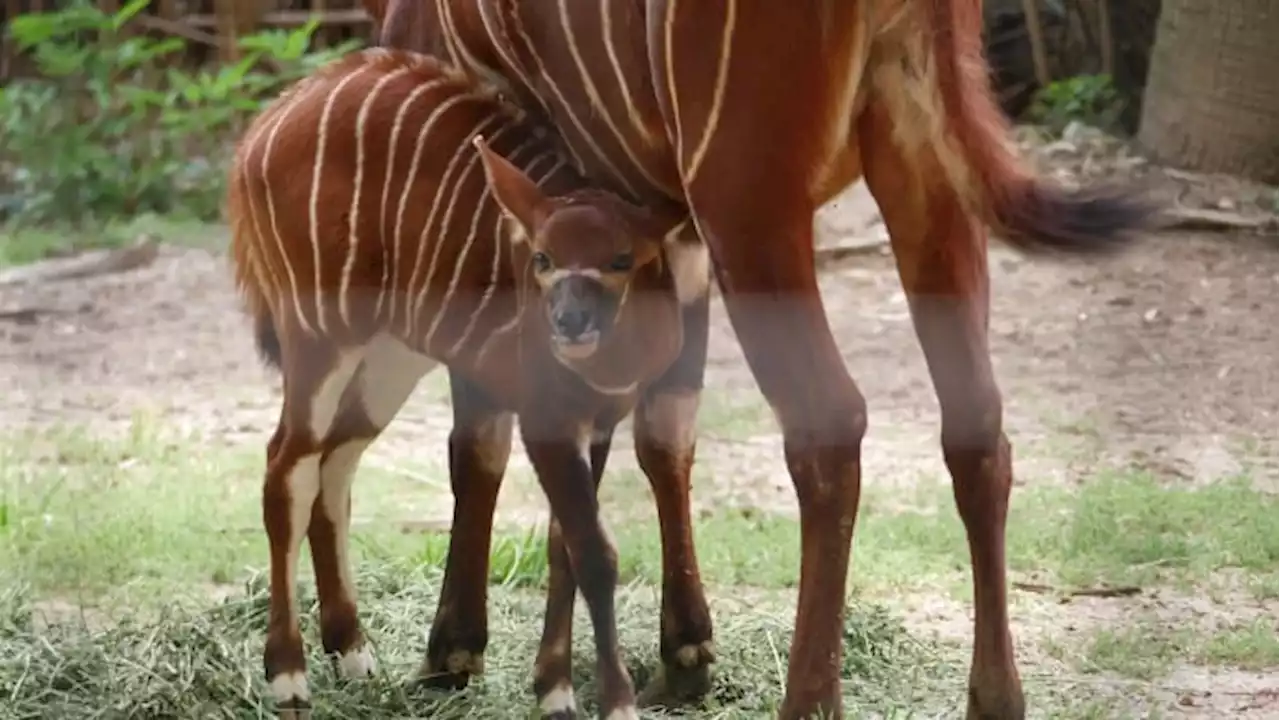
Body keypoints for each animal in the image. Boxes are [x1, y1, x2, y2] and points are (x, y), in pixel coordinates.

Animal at [222, 47, 701, 712]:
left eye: (621, 259)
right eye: (542, 258)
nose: (568, 322)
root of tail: (261, 131)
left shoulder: (596, 424)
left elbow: (564, 547)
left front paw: (554, 691)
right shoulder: (546, 420)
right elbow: (595, 553)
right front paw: (612, 703)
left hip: (387, 360)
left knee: (334, 464)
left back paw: (354, 653)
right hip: (318, 337)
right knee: (285, 468)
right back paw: (288, 677)